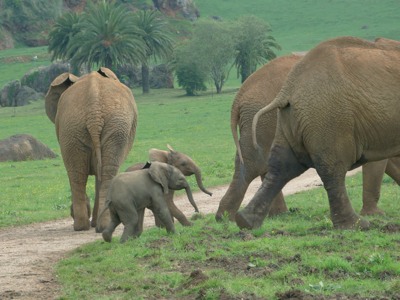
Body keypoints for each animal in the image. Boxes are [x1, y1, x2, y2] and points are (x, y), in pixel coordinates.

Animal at [45, 67, 138, 232]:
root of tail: (94, 109)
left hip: (81, 128)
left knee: (81, 173)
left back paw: (86, 226)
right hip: (90, 127)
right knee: (97, 173)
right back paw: (95, 226)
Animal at [216, 49, 400, 223]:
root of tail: (240, 95)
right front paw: (375, 215)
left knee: (260, 163)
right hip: (265, 120)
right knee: (255, 164)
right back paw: (228, 218)